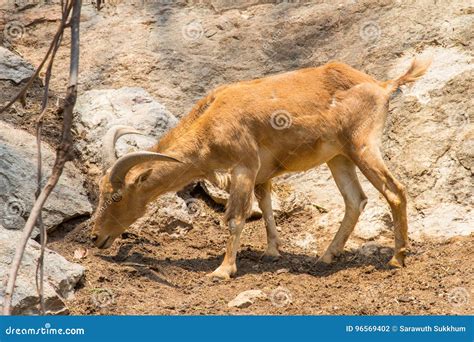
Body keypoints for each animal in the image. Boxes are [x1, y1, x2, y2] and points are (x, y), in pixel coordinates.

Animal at [90, 57, 432, 280]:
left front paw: (223, 270)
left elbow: (235, 217)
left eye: (117, 196)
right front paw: (272, 252)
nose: (95, 238)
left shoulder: (243, 167)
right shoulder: (261, 174)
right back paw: (327, 256)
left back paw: (397, 258)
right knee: (355, 200)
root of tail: (382, 86)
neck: (211, 122)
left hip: (362, 147)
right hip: (339, 157)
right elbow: (266, 206)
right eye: (101, 192)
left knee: (395, 191)